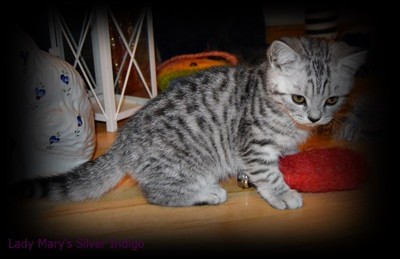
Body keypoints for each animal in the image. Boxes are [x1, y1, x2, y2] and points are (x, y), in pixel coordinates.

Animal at [19, 37, 366, 210]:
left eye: (331, 100)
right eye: (298, 98)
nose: (315, 117)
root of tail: (124, 141)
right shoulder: (252, 144)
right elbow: (267, 173)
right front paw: (282, 193)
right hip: (183, 165)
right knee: (156, 194)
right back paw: (207, 194)